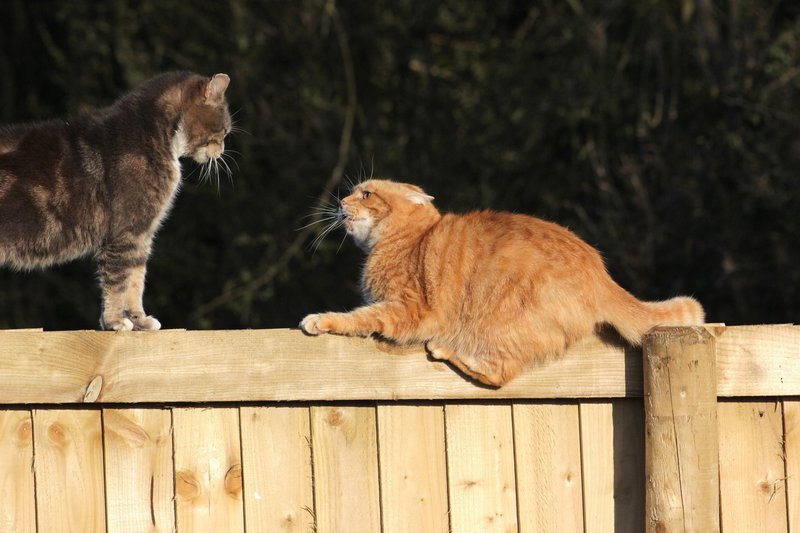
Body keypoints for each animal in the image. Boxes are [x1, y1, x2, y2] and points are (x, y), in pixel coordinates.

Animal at [0, 70, 231, 328]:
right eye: (224, 130)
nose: (222, 150)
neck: (153, 135)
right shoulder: (124, 233)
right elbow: (117, 281)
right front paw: (115, 321)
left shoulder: (141, 234)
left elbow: (136, 280)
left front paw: (140, 320)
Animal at [302, 181, 708, 384]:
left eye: (366, 193)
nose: (340, 201)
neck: (406, 239)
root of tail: (602, 276)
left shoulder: (408, 309)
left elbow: (358, 316)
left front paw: (320, 319)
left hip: (502, 326)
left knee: (499, 375)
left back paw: (446, 350)